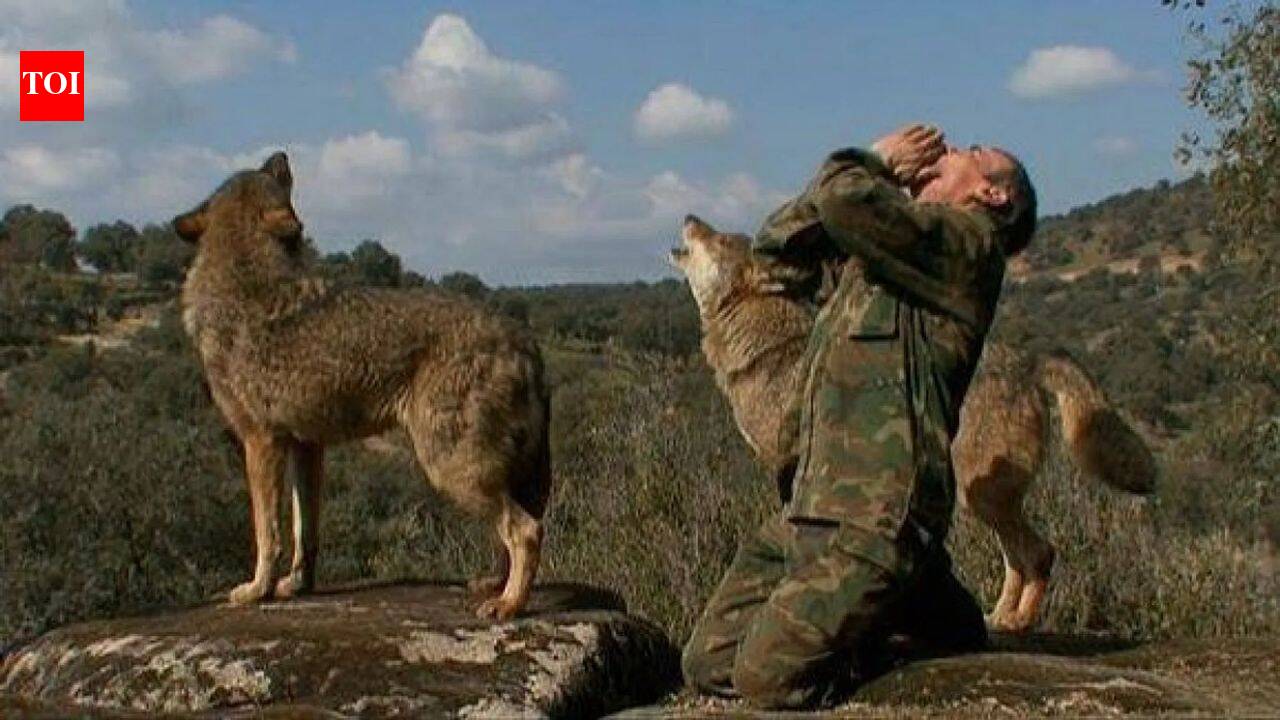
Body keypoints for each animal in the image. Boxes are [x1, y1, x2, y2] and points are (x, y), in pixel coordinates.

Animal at [175, 152, 550, 620]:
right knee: (515, 529)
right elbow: (305, 531)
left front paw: (257, 590)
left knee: (526, 530)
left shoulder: (260, 443)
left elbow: (267, 533)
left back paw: (509, 604)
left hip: (452, 469)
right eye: (268, 170)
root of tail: (524, 340)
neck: (242, 281)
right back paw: (493, 586)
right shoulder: (306, 447)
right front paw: (296, 586)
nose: (281, 153)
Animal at [670, 215, 1156, 633]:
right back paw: (999, 617)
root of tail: (1029, 360)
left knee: (1041, 553)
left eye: (718, 239)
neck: (764, 346)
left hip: (979, 496)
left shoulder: (787, 465)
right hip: (985, 500)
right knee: (1019, 559)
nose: (690, 217)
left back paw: (1017, 621)